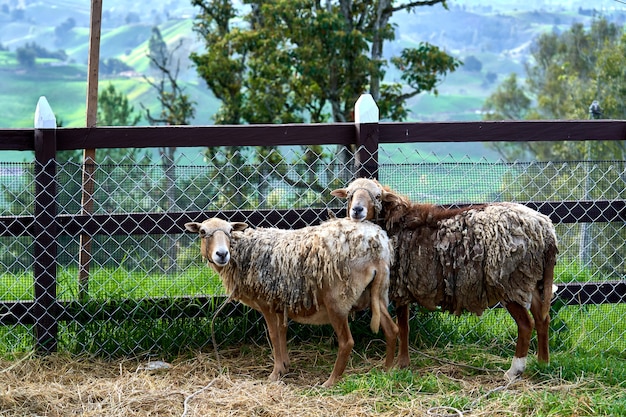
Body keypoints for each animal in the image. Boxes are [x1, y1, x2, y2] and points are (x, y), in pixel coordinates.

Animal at [183, 216, 398, 386]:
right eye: (203, 232)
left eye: (229, 231)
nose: (222, 254)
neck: (244, 254)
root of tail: (377, 245)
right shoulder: (280, 304)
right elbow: (282, 332)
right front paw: (285, 366)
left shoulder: (267, 303)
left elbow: (273, 335)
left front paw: (275, 373)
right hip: (378, 292)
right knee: (391, 329)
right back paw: (387, 370)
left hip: (338, 299)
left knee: (347, 342)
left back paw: (330, 381)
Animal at [330, 177, 560, 378]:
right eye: (349, 195)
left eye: (377, 196)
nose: (357, 210)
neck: (394, 225)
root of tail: (546, 231)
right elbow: (405, 327)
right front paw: (404, 363)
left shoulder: (400, 287)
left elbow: (403, 327)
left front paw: (401, 364)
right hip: (531, 278)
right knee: (542, 318)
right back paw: (543, 363)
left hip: (509, 280)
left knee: (526, 324)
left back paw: (515, 371)